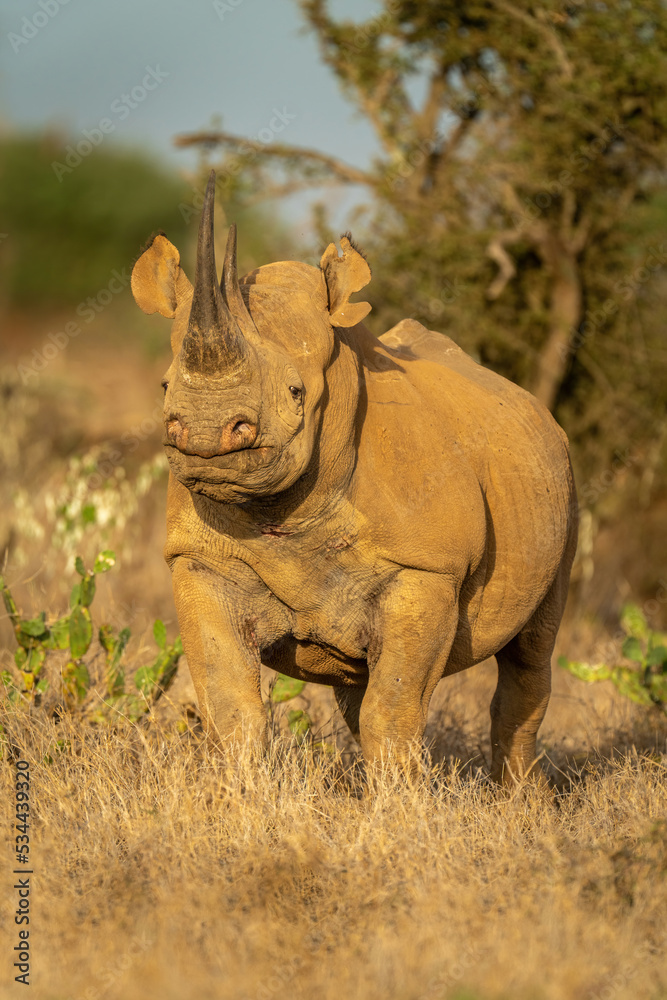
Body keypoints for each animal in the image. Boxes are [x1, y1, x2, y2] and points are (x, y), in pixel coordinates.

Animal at [131, 171, 577, 783]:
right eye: (163, 387)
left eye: (296, 393)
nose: (204, 432)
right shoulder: (199, 557)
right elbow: (231, 704)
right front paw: (238, 794)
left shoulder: (427, 568)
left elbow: (394, 707)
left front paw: (398, 803)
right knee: (354, 683)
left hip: (564, 482)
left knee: (531, 652)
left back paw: (519, 796)